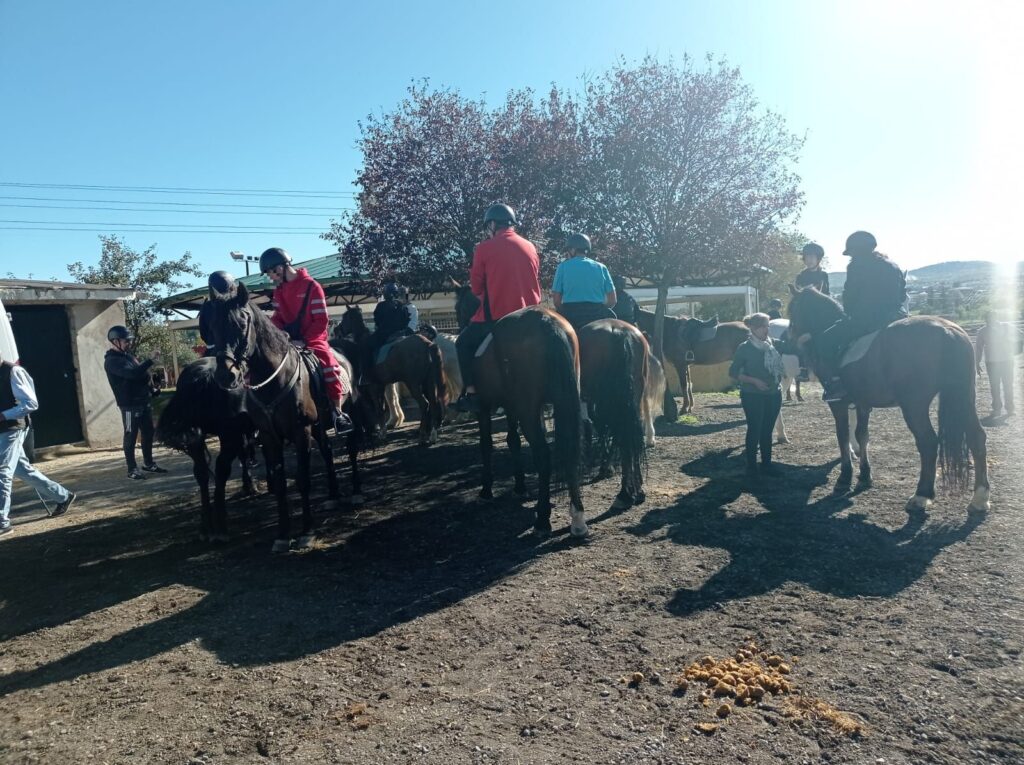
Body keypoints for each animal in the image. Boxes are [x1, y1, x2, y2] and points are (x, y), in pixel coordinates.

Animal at [155, 358, 262, 540]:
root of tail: (204, 374)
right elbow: (244, 453)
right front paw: (249, 485)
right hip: (229, 435)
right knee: (222, 468)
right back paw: (220, 526)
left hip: (197, 437)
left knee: (201, 472)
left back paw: (206, 526)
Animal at [337, 307, 446, 448]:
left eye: (345, 317)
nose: (337, 330)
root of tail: (428, 344)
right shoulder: (381, 386)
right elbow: (383, 409)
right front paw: (383, 431)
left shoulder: (373, 388)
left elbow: (378, 410)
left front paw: (381, 435)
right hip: (429, 382)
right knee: (433, 403)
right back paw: (432, 435)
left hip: (413, 384)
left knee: (424, 404)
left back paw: (422, 435)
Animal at [454, 286, 589, 536]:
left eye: (459, 308)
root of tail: (547, 321)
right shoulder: (511, 407)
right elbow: (512, 441)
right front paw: (519, 486)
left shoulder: (484, 407)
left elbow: (486, 444)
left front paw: (486, 490)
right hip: (565, 402)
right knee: (570, 450)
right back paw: (577, 518)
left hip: (529, 409)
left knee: (543, 455)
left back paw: (543, 520)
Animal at [577, 319, 647, 507]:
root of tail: (619, 333)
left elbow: (601, 427)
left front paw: (605, 467)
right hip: (634, 396)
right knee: (631, 434)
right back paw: (637, 490)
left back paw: (625, 493)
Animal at [782, 284, 991, 512]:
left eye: (793, 310)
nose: (788, 341)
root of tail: (948, 331)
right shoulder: (862, 403)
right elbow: (862, 435)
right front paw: (865, 476)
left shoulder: (838, 404)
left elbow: (843, 436)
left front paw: (844, 478)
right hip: (965, 397)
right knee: (977, 437)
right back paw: (980, 497)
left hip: (914, 406)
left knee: (928, 442)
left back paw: (922, 495)